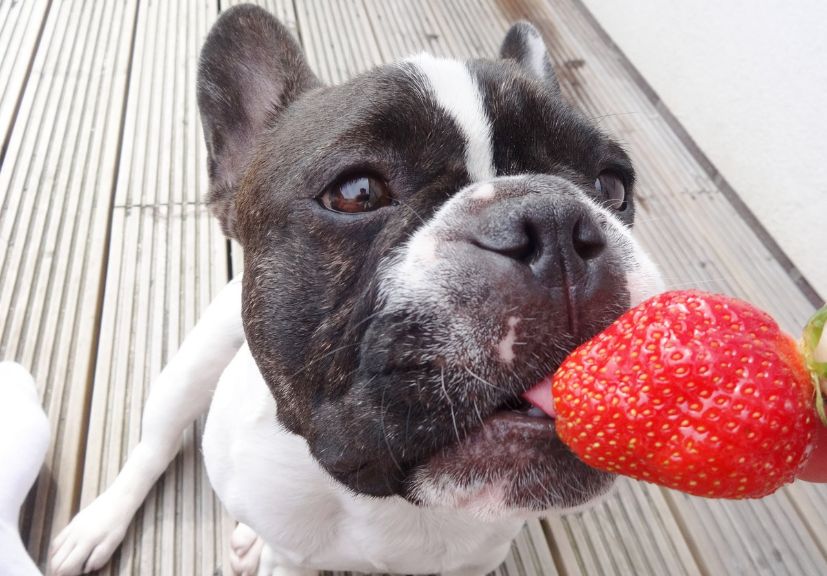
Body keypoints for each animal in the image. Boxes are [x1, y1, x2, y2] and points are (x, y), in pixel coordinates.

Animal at [50, 5, 660, 576]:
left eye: (612, 184)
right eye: (357, 192)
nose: (554, 222)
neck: (392, 505)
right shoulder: (290, 547)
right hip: (190, 367)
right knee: (153, 446)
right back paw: (98, 525)